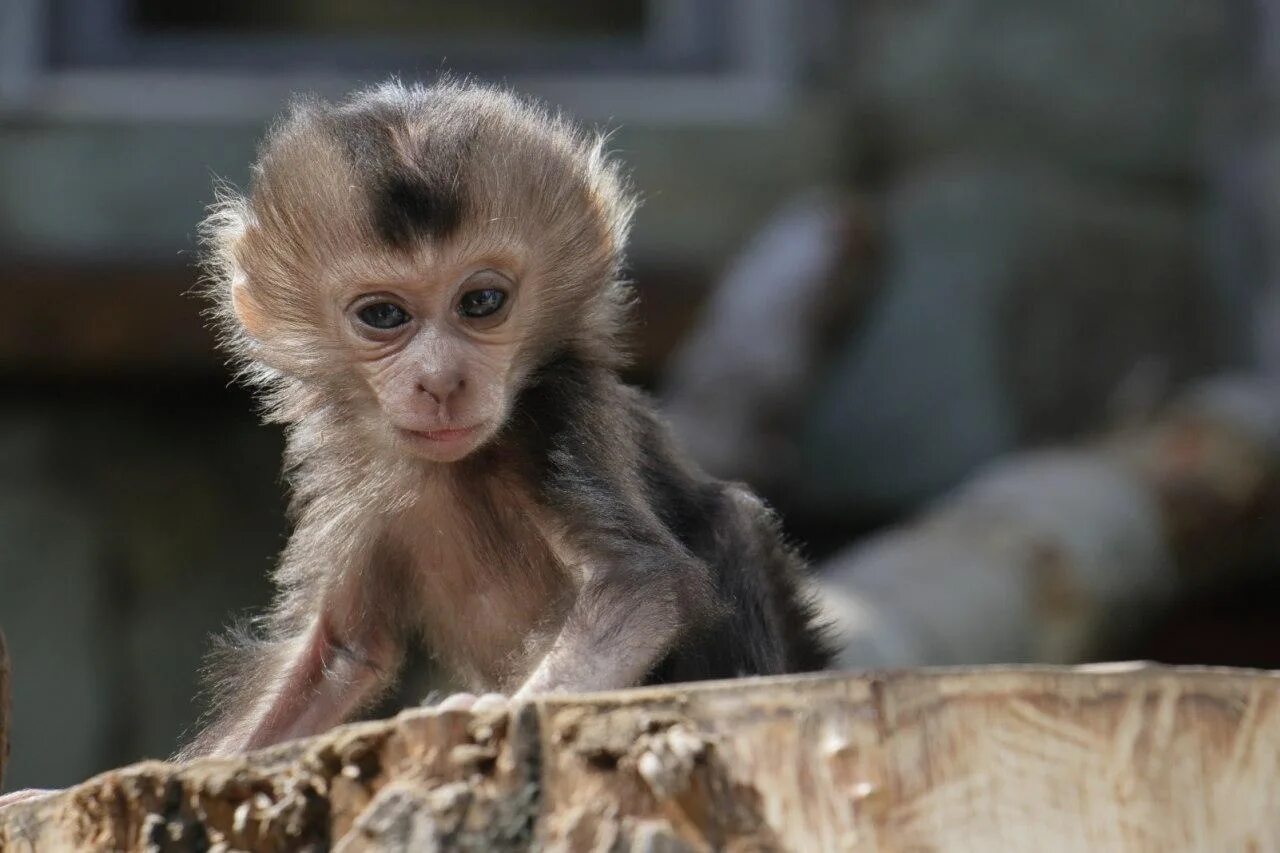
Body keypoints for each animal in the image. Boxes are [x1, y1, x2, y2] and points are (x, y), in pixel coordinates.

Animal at [186, 81, 829, 758]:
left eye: (482, 302)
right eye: (383, 315)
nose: (441, 380)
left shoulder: (560, 409)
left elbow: (640, 587)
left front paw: (498, 708)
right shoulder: (345, 465)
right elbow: (340, 652)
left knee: (733, 522)